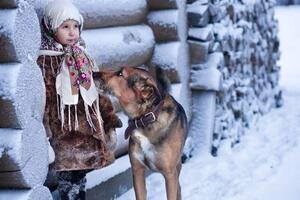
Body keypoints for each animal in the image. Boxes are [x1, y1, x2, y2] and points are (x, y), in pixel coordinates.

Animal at [94, 67, 188, 200]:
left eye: (120, 73)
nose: (93, 73)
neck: (145, 118)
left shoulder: (170, 174)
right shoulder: (137, 170)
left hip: (177, 167)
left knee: (178, 188)